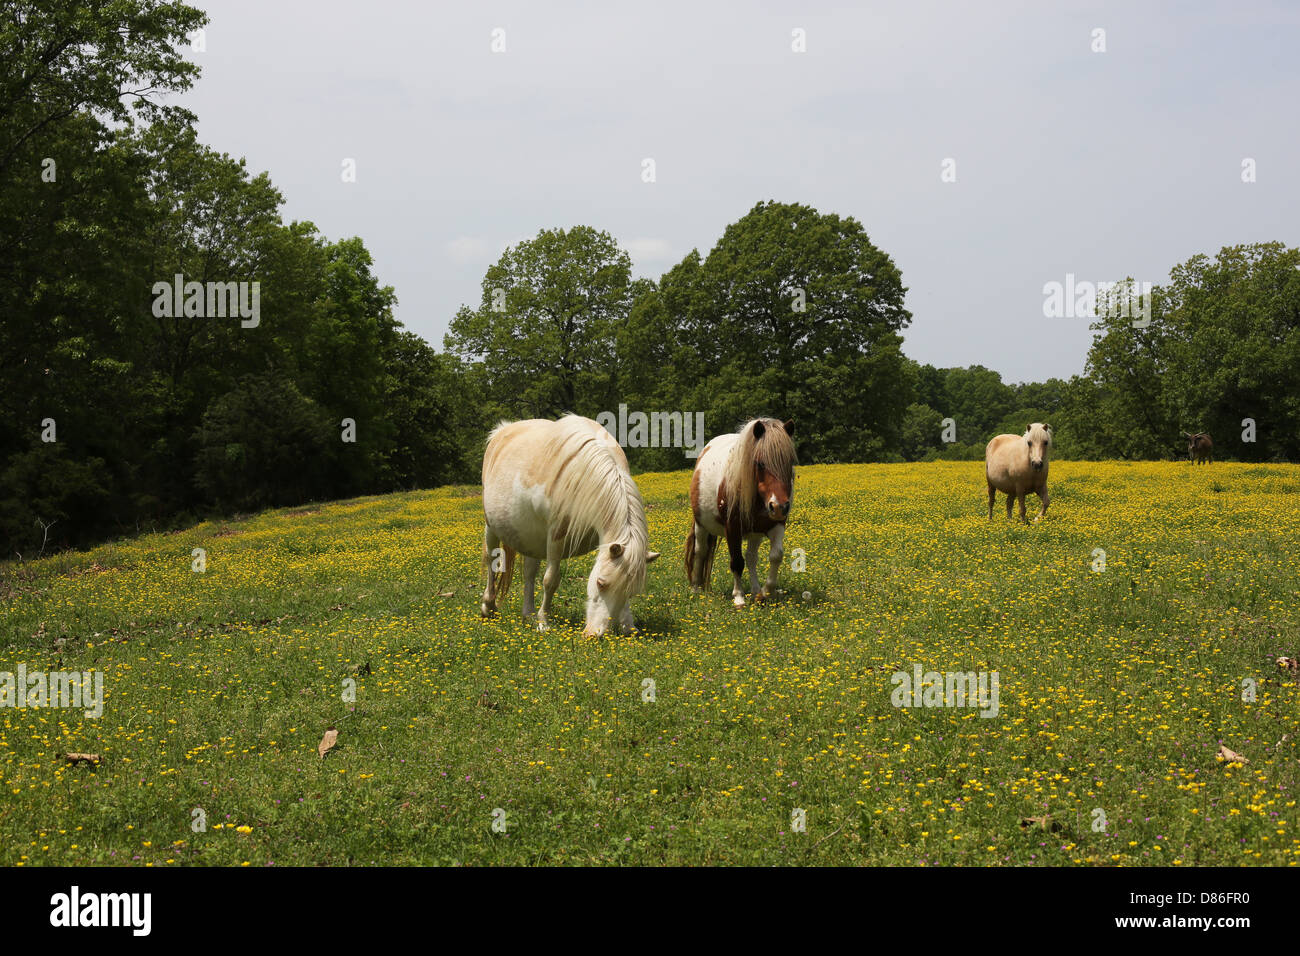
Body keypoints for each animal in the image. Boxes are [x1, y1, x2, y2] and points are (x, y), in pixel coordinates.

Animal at [479, 415, 659, 637]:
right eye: (600, 583)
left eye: (631, 593)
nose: (594, 634)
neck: (584, 474)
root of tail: (500, 432)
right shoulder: (556, 537)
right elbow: (550, 580)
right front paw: (543, 622)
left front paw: (628, 625)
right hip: (491, 527)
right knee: (491, 560)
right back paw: (489, 606)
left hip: (530, 538)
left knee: (529, 573)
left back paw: (528, 614)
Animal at [685, 418, 796, 607]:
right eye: (760, 463)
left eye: (789, 463)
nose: (779, 506)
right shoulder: (732, 528)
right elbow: (736, 561)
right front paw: (738, 597)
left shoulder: (776, 524)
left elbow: (776, 556)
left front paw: (765, 592)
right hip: (701, 525)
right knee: (700, 551)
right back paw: (696, 588)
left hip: (755, 533)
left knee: (751, 558)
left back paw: (756, 591)